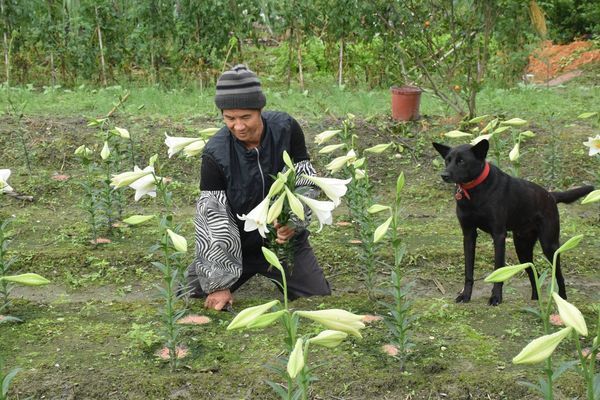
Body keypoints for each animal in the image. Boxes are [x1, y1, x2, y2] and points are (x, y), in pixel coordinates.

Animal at [434, 139, 592, 304]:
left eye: (461, 161)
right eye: (447, 160)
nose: (444, 175)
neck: (475, 190)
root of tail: (551, 196)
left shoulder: (498, 235)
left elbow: (498, 269)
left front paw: (496, 297)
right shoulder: (468, 234)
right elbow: (468, 271)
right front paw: (465, 295)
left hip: (549, 245)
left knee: (559, 275)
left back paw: (562, 300)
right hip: (522, 248)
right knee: (534, 272)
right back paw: (535, 299)